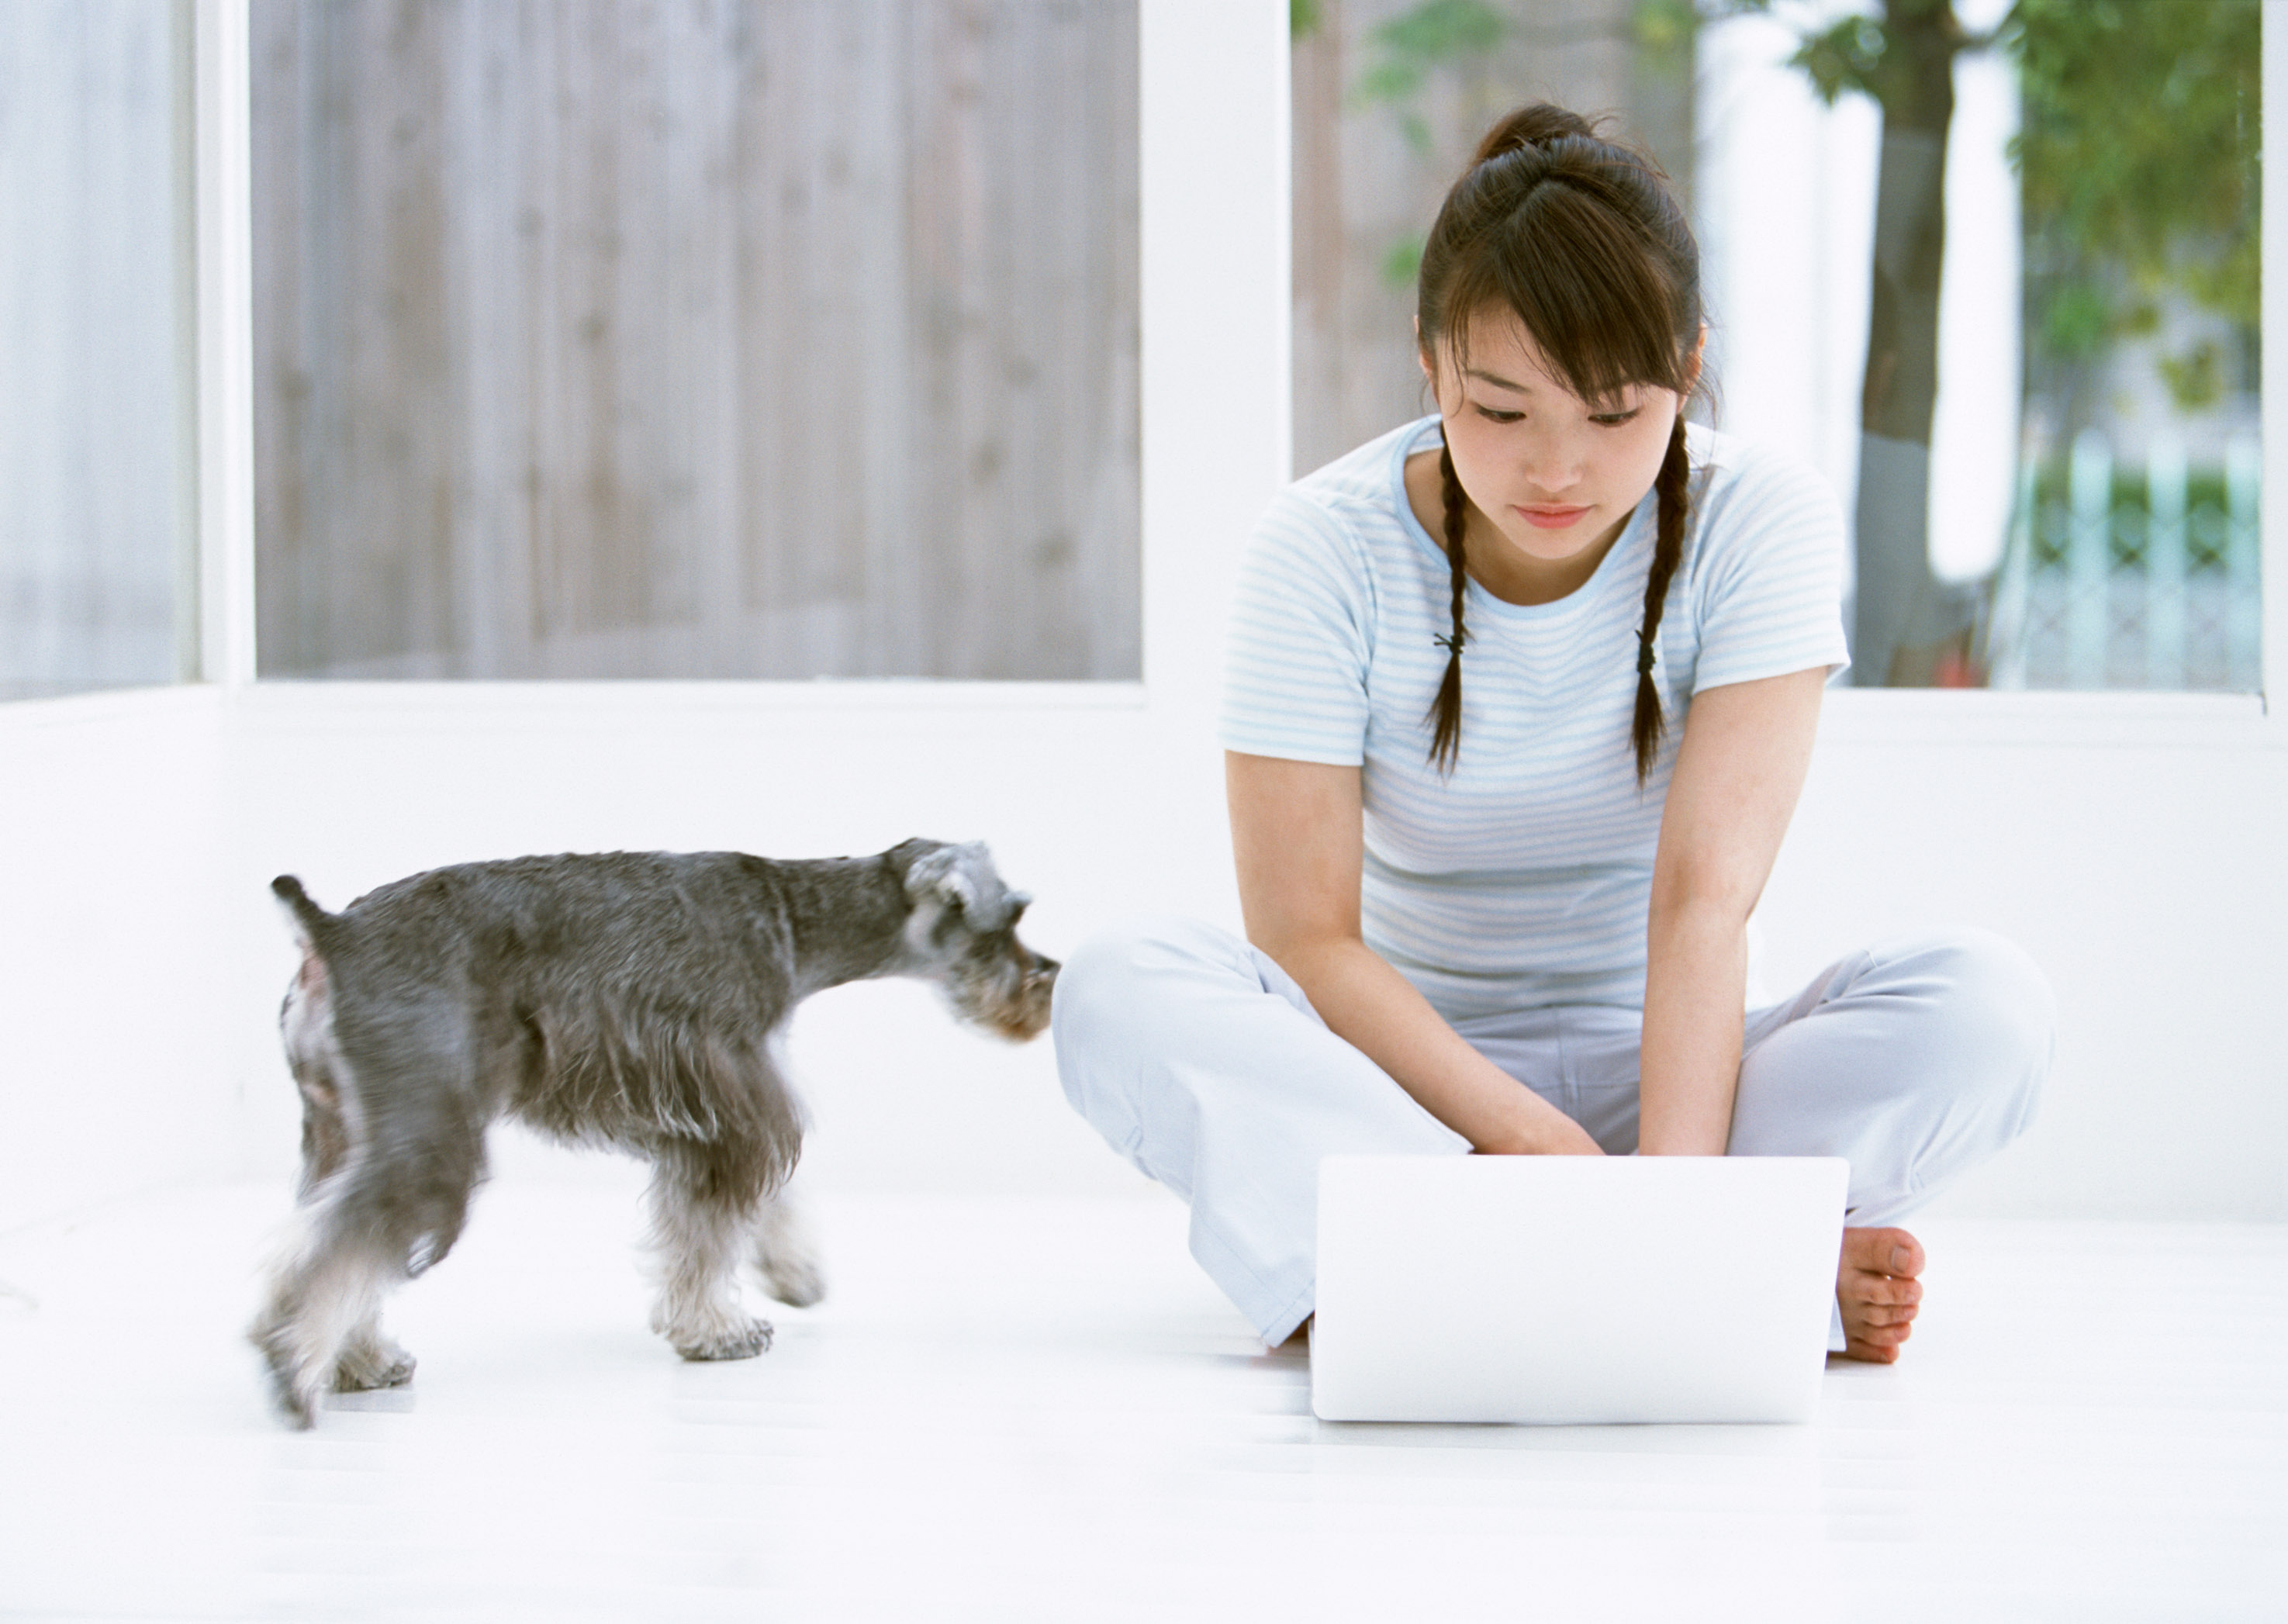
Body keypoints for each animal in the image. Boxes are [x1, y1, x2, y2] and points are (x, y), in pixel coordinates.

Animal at [248, 846, 1052, 1427]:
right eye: (1009, 917)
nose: (1047, 979)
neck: (795, 916)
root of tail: (332, 936)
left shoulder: (730, 1103)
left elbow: (763, 1203)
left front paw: (794, 1274)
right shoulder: (731, 1110)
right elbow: (708, 1235)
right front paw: (719, 1331)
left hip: (342, 1131)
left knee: (322, 1233)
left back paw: (355, 1360)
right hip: (428, 1131)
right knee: (346, 1240)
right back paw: (291, 1363)